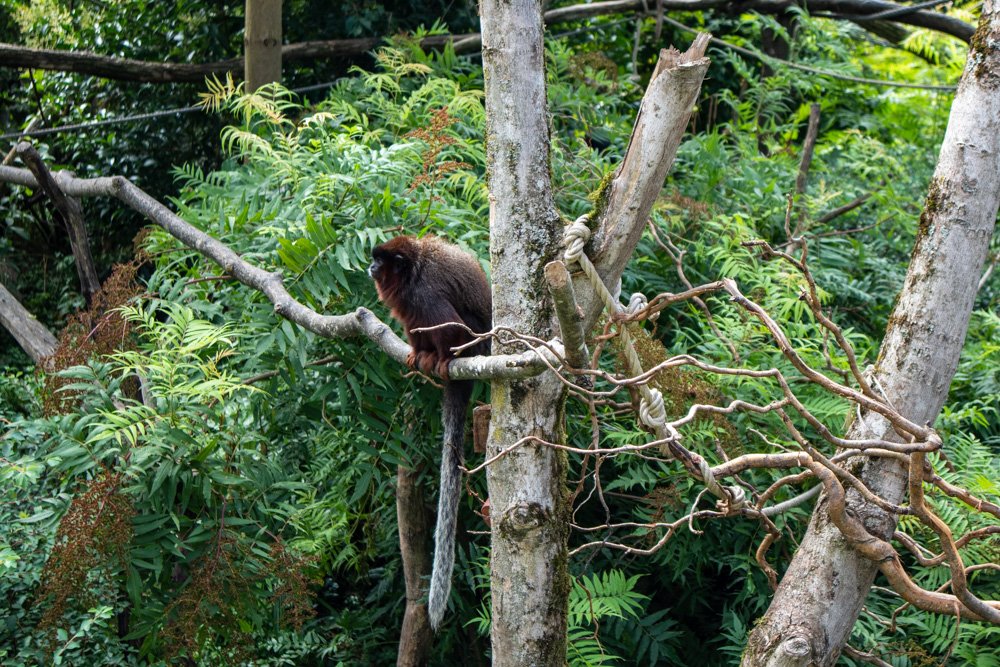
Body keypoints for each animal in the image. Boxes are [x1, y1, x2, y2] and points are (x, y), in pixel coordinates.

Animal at [368, 234, 491, 631]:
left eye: (381, 261)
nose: (370, 266)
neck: (411, 273)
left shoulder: (425, 293)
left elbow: (447, 323)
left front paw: (443, 356)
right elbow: (412, 324)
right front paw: (417, 353)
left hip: (476, 343)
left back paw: (445, 360)